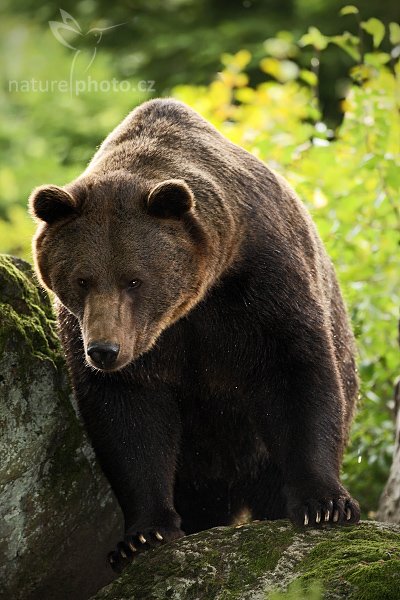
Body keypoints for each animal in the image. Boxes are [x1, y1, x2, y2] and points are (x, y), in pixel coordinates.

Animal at [28, 97, 360, 572]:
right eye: (81, 280)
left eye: (134, 280)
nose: (104, 350)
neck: (191, 305)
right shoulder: (114, 337)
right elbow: (128, 417)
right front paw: (143, 535)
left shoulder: (259, 284)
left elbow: (296, 371)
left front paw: (324, 504)